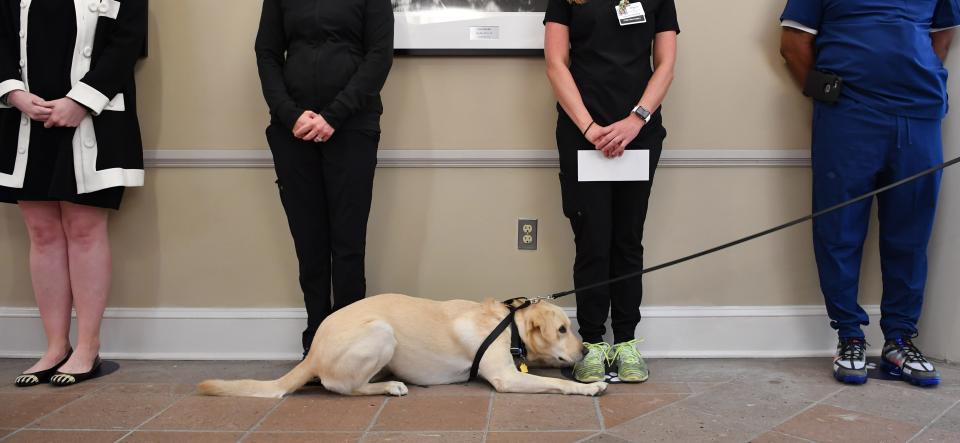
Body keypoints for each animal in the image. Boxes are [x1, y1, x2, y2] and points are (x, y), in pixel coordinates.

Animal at [197, 294, 608, 398]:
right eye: (562, 329)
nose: (586, 351)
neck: (510, 326)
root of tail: (313, 351)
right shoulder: (507, 378)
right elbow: (555, 382)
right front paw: (588, 387)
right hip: (381, 332)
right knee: (341, 387)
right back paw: (391, 385)